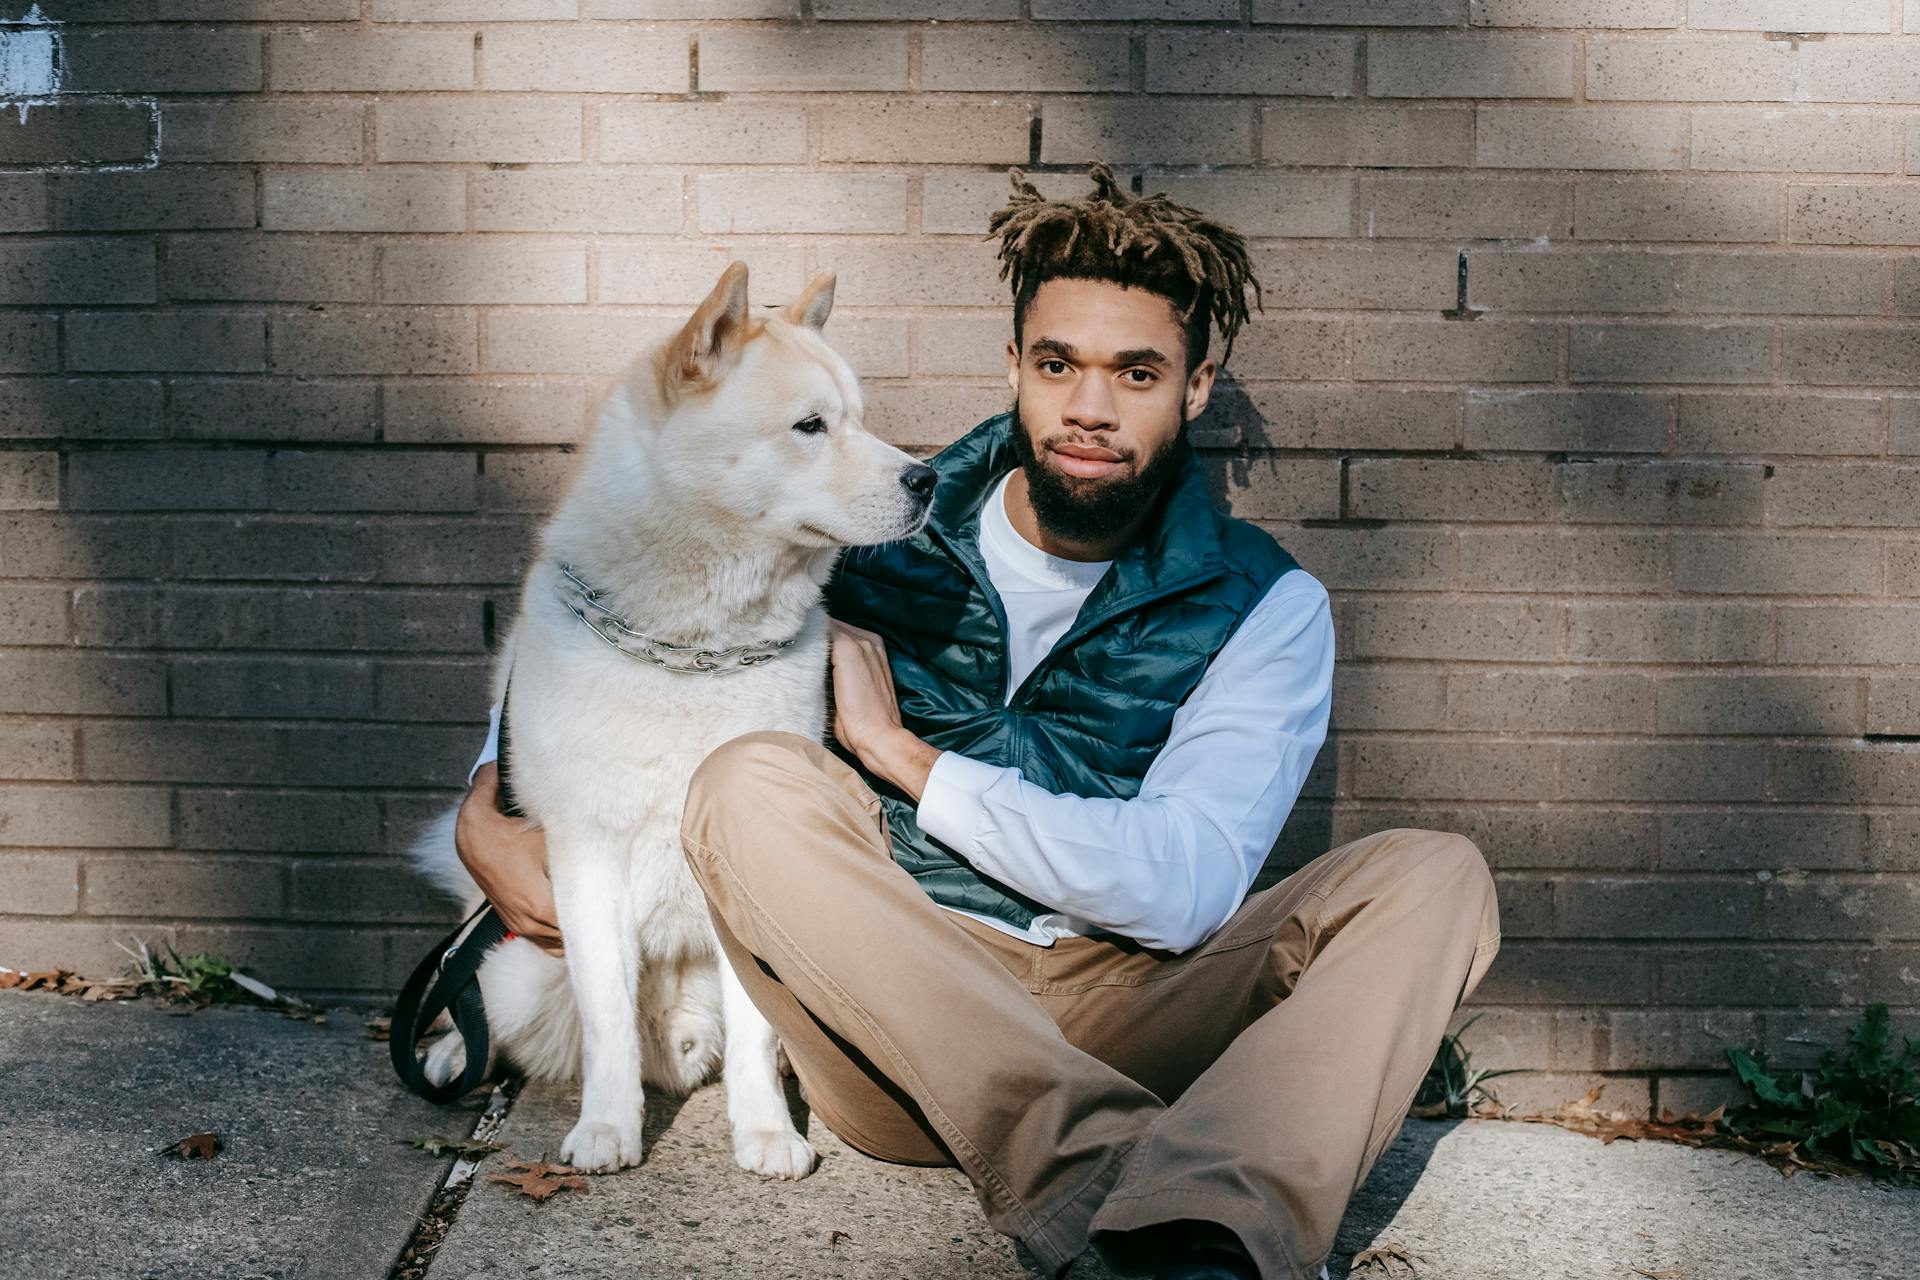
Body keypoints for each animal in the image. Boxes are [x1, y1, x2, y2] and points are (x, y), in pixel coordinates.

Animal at [410, 260, 936, 1182]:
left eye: (864, 420)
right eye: (810, 426)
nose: (927, 480)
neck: (692, 652)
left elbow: (759, 1034)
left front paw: (766, 1134)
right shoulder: (588, 857)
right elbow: (607, 1019)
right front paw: (606, 1131)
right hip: (516, 966)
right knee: (486, 1012)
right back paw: (445, 1053)